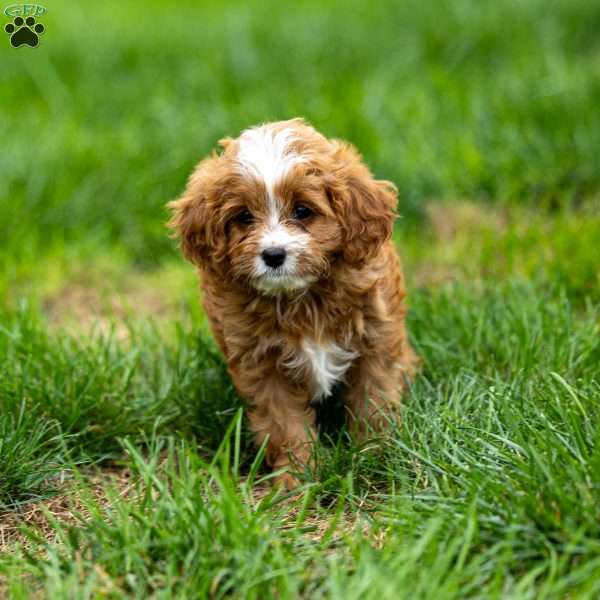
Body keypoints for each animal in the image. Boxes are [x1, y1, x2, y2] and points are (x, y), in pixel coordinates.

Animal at [168, 118, 418, 488]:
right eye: (244, 217)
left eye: (303, 211)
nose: (273, 255)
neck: (300, 297)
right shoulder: (261, 364)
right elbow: (284, 422)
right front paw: (297, 478)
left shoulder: (375, 339)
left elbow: (373, 401)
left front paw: (378, 455)